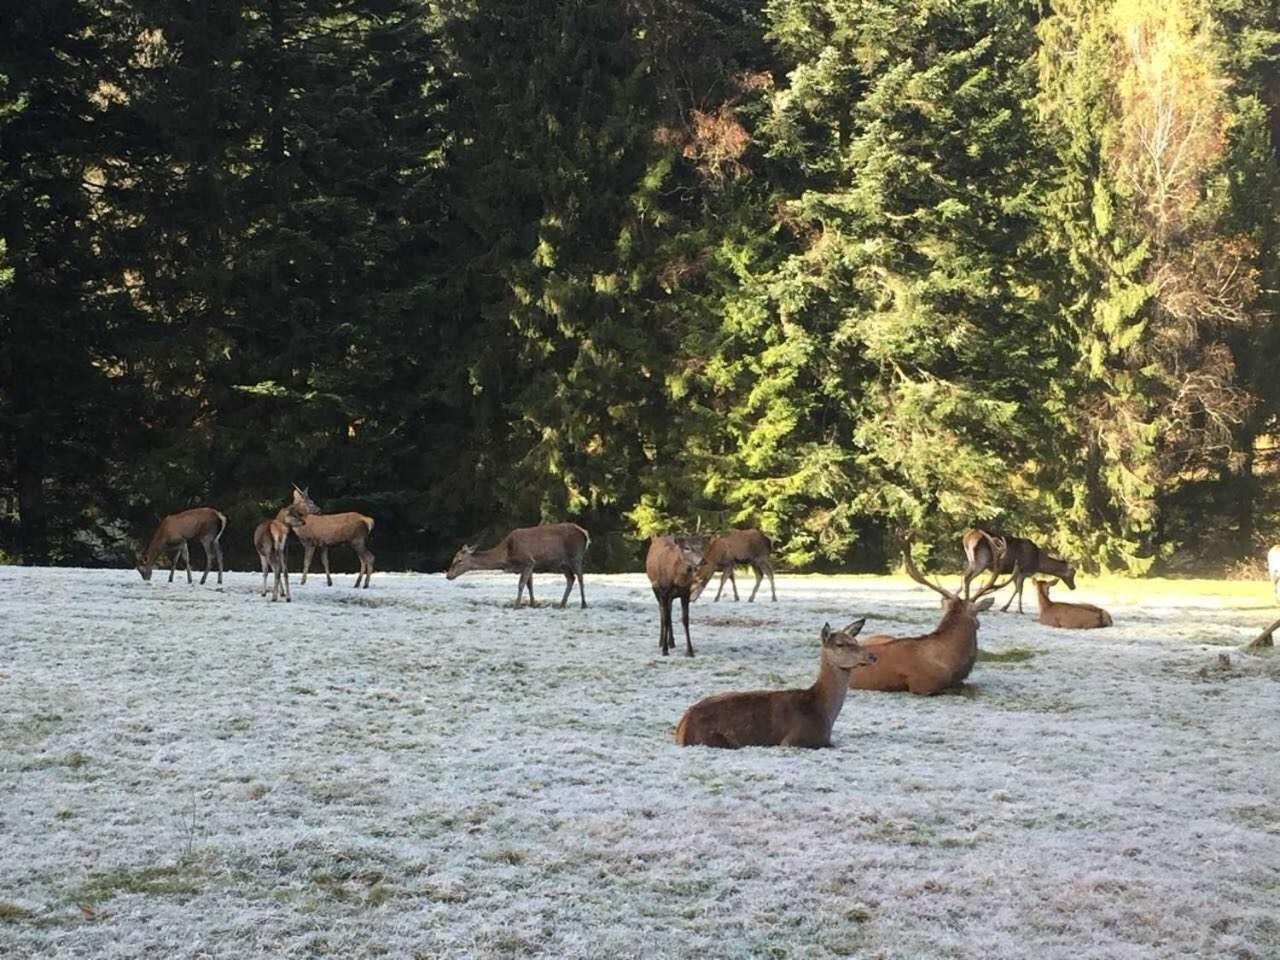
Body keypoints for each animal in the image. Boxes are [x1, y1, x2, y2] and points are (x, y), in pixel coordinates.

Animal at [445, 527, 588, 609]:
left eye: (459, 560)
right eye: (453, 559)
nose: (448, 575)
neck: (507, 555)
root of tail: (585, 534)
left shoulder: (528, 561)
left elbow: (521, 584)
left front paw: (517, 605)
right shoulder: (530, 565)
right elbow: (529, 585)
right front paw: (533, 604)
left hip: (576, 554)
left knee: (580, 578)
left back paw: (583, 604)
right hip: (562, 562)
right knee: (571, 578)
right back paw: (561, 604)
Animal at [675, 624, 875, 752]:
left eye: (856, 641)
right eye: (840, 644)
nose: (872, 656)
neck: (823, 713)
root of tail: (680, 730)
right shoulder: (793, 740)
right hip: (713, 739)